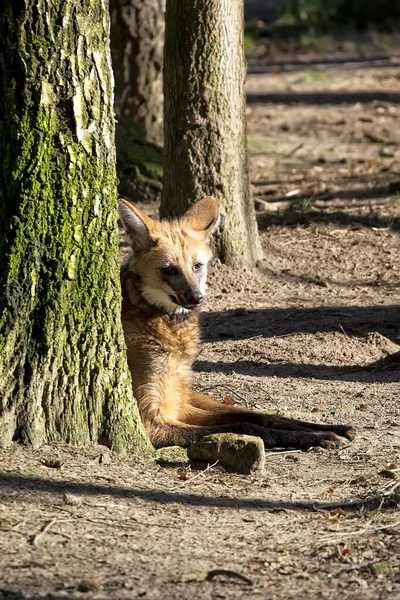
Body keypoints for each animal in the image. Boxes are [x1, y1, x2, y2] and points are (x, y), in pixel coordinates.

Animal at [119, 197, 356, 450]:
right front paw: (319, 437)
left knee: (255, 413)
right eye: (168, 269)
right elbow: (244, 426)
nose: (196, 297)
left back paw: (338, 428)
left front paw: (326, 431)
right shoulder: (153, 423)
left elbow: (256, 418)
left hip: (189, 393)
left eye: (197, 266)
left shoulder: (177, 407)